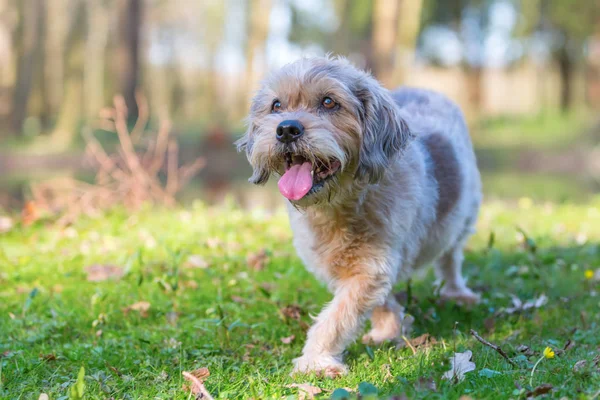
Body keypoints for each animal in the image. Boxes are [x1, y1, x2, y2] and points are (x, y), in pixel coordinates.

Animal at [236, 57, 482, 378]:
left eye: (329, 102)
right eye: (276, 105)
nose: (287, 129)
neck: (338, 206)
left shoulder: (370, 268)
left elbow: (335, 318)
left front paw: (315, 362)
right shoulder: (357, 267)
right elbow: (377, 301)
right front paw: (388, 329)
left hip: (463, 217)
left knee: (451, 258)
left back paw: (457, 292)